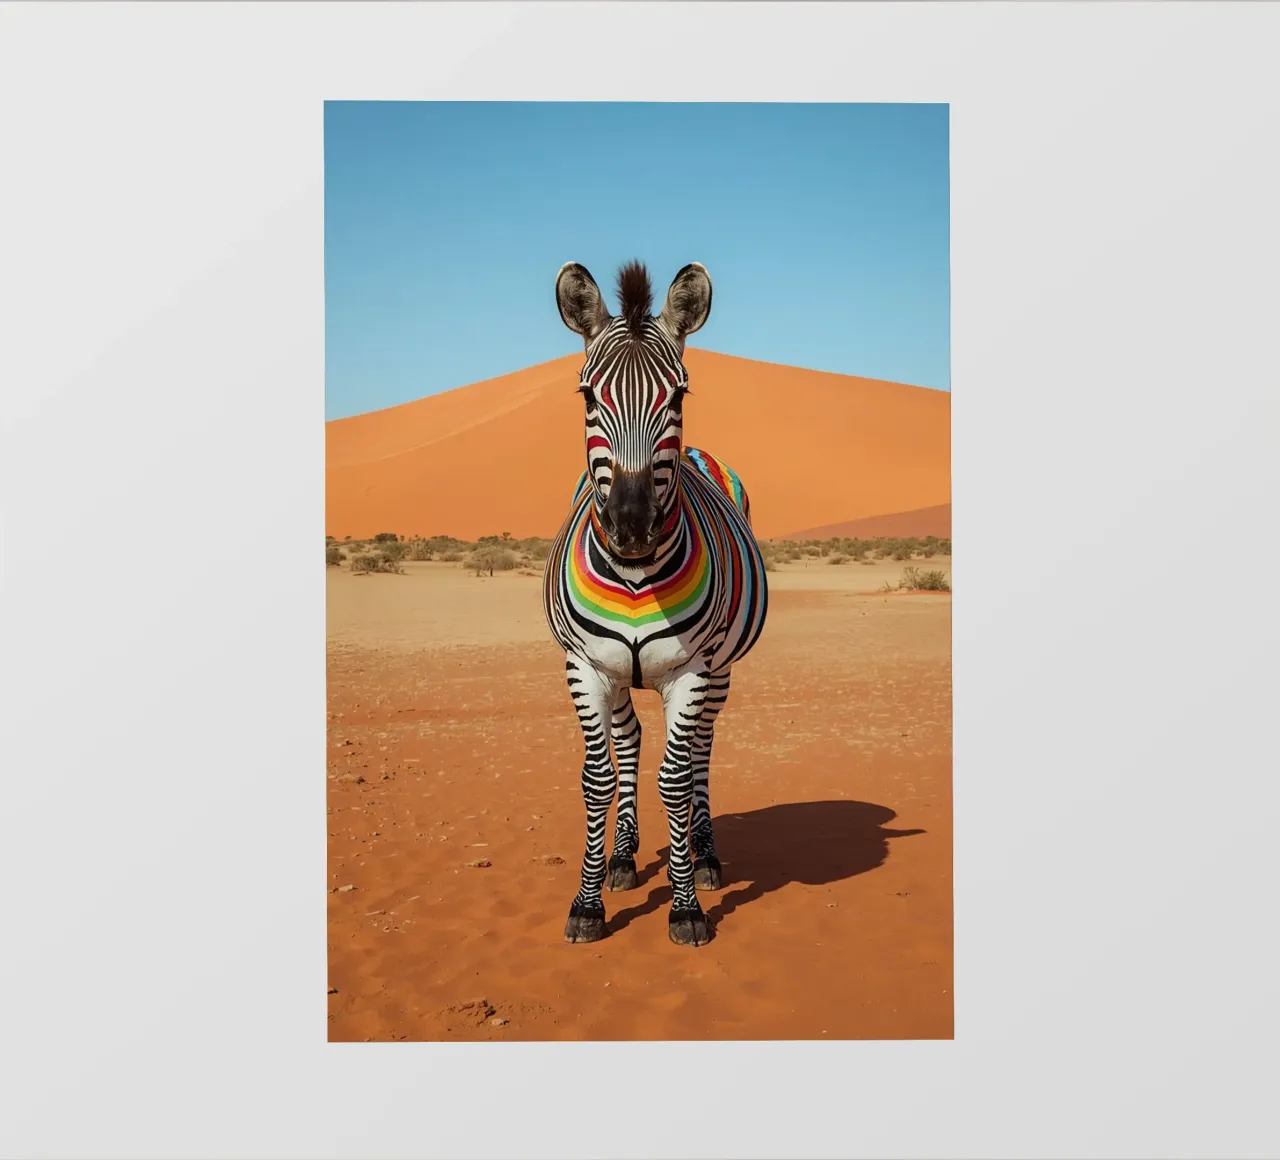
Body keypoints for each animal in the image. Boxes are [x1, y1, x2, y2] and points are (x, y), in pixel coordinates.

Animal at [542, 259, 769, 947]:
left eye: (679, 398)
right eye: (588, 397)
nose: (632, 526)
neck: (638, 575)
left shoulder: (691, 670)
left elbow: (674, 778)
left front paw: (686, 905)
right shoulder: (584, 667)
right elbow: (598, 778)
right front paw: (589, 902)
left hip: (720, 671)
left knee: (698, 754)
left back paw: (704, 855)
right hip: (619, 674)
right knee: (630, 739)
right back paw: (621, 857)